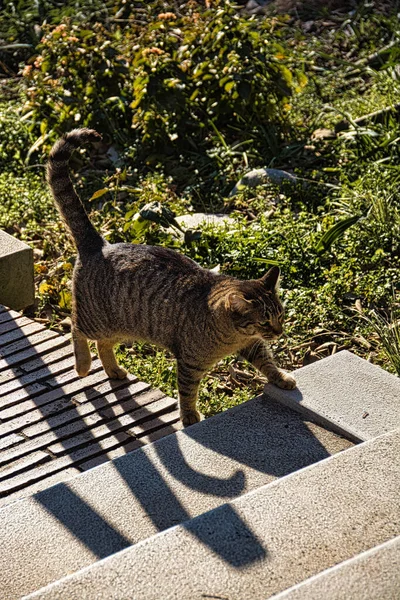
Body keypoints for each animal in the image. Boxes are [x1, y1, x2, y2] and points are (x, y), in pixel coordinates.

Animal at [47, 128, 296, 424]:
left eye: (281, 316)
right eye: (265, 321)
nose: (280, 332)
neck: (232, 336)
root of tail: (99, 244)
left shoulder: (253, 345)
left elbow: (268, 363)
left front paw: (281, 378)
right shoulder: (189, 363)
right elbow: (187, 392)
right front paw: (189, 417)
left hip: (122, 326)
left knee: (103, 344)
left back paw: (113, 370)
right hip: (97, 319)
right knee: (76, 328)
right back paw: (83, 365)